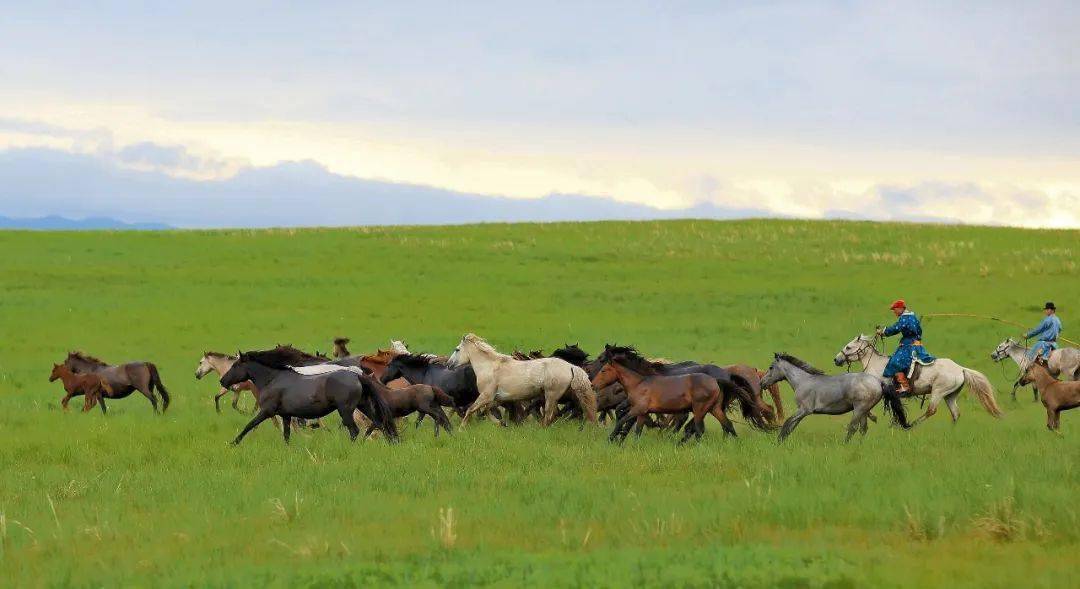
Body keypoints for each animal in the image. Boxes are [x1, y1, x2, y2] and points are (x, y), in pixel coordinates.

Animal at [218, 345, 397, 443]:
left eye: (234, 366)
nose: (222, 381)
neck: (273, 378)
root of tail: (357, 375)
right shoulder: (286, 415)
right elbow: (286, 435)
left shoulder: (267, 411)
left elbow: (249, 425)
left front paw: (233, 443)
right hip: (364, 405)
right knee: (379, 424)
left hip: (345, 410)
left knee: (354, 430)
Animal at [447, 330, 600, 427]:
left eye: (457, 349)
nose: (449, 364)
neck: (489, 367)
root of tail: (570, 366)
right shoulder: (494, 399)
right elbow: (487, 411)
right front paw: (501, 423)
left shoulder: (486, 395)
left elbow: (471, 410)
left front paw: (461, 429)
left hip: (551, 395)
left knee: (550, 415)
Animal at [760, 350, 911, 440]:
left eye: (771, 367)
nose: (762, 383)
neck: (802, 381)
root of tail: (878, 382)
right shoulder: (802, 412)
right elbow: (791, 426)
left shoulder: (804, 410)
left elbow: (787, 423)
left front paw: (778, 441)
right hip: (864, 410)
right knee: (863, 429)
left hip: (859, 409)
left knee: (853, 428)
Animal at [833, 332, 1002, 425]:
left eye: (848, 347)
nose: (836, 359)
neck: (876, 364)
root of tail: (960, 368)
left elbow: (865, 408)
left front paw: (874, 417)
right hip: (950, 395)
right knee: (955, 413)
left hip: (938, 392)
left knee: (931, 411)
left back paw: (912, 425)